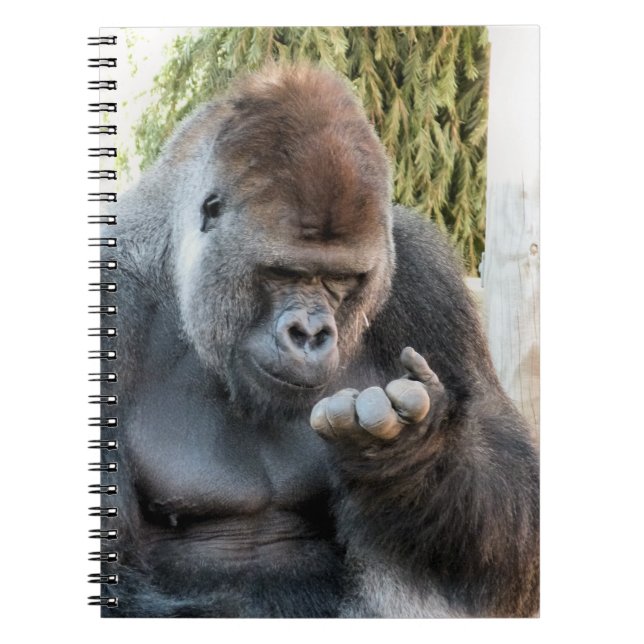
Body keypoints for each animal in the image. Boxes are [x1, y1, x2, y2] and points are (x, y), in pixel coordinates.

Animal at [99, 63, 539, 617]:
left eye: (340, 280)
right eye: (283, 272)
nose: (309, 334)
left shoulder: (425, 276)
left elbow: (517, 534)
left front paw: (411, 455)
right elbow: (114, 577)